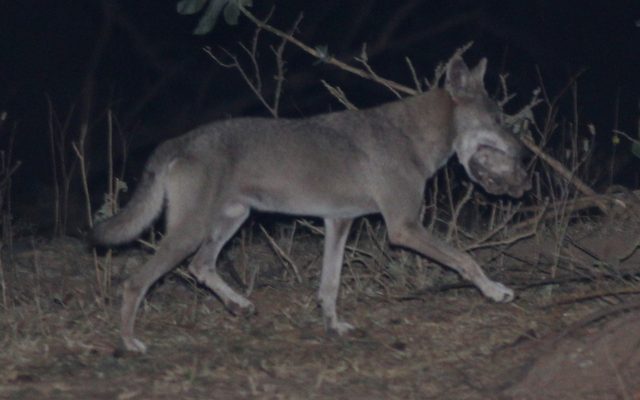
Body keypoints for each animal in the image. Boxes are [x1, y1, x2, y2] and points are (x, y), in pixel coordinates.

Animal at [93, 56, 530, 353]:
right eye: (498, 119)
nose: (525, 154)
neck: (412, 138)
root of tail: (177, 141)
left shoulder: (338, 222)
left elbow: (329, 286)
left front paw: (333, 327)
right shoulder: (404, 227)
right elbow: (466, 259)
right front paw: (495, 291)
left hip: (231, 219)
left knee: (201, 266)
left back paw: (240, 305)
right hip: (191, 231)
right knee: (136, 283)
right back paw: (130, 343)